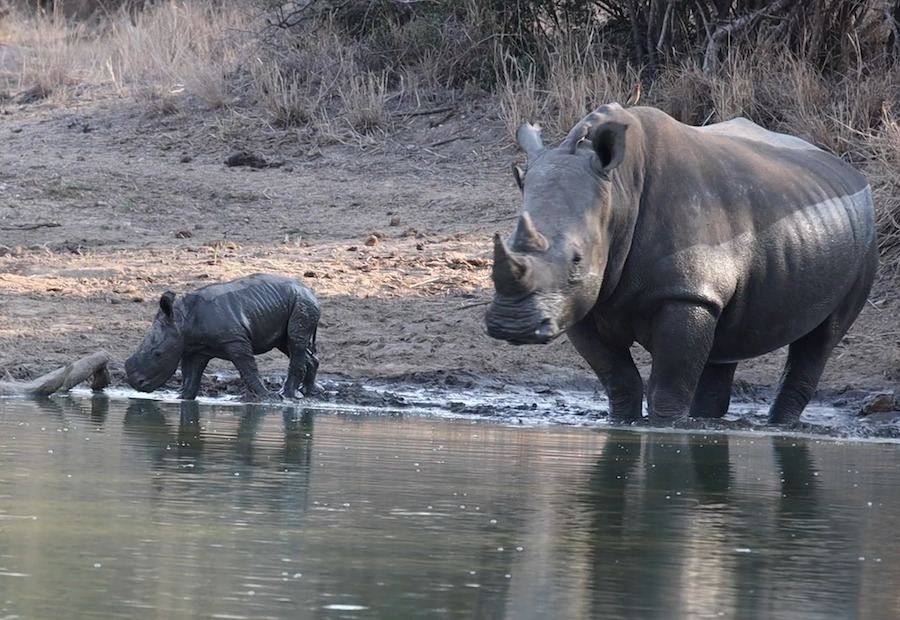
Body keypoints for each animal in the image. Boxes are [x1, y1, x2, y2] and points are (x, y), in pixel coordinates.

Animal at [125, 273, 321, 401]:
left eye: (157, 354)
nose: (136, 383)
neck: (182, 319)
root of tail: (310, 291)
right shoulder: (195, 348)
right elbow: (191, 374)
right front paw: (182, 397)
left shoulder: (235, 339)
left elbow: (247, 367)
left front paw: (267, 398)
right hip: (292, 302)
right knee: (287, 343)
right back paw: (308, 392)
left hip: (302, 303)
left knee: (295, 341)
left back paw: (285, 395)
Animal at [485, 104, 877, 425]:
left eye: (576, 259)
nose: (512, 325)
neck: (618, 193)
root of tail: (850, 172)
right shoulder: (580, 302)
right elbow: (618, 380)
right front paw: (624, 424)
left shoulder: (686, 294)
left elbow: (668, 384)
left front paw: (666, 427)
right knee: (727, 338)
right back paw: (708, 421)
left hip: (864, 239)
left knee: (822, 337)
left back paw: (778, 426)